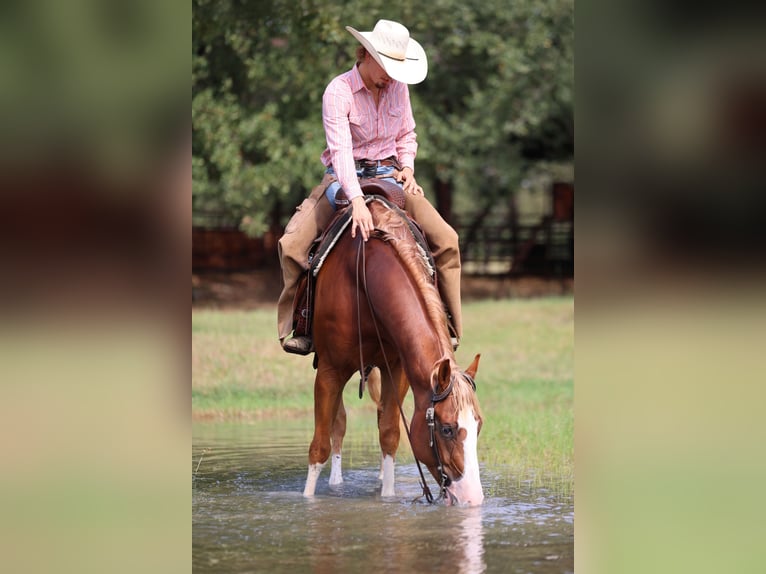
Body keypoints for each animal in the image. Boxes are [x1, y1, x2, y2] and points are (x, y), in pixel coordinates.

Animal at [301, 195, 484, 506]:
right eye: (447, 429)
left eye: (478, 426)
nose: (473, 499)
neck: (365, 278)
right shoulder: (330, 370)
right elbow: (320, 445)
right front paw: (308, 500)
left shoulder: (396, 369)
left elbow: (389, 434)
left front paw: (386, 498)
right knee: (338, 423)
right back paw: (336, 481)